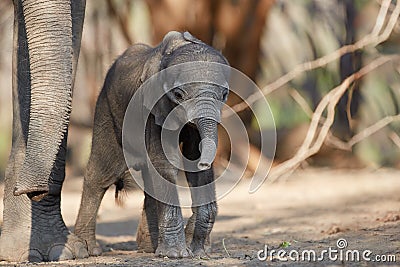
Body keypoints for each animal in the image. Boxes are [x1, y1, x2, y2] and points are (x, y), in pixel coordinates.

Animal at [74, 31, 230, 260]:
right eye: (179, 95)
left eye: (224, 95)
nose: (205, 163)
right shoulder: (153, 106)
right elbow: (165, 163)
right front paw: (177, 254)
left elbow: (192, 164)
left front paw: (197, 251)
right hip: (107, 108)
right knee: (101, 174)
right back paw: (87, 249)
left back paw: (149, 248)